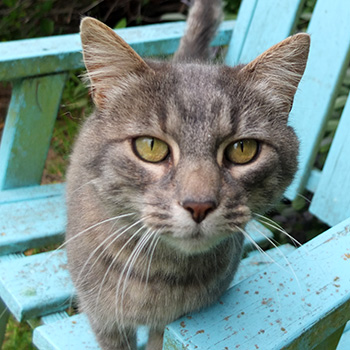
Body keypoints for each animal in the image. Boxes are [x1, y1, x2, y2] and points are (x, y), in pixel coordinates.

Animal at [65, 0, 308, 350]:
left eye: (243, 149)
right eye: (150, 146)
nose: (199, 205)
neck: (158, 275)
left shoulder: (166, 326)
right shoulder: (105, 322)